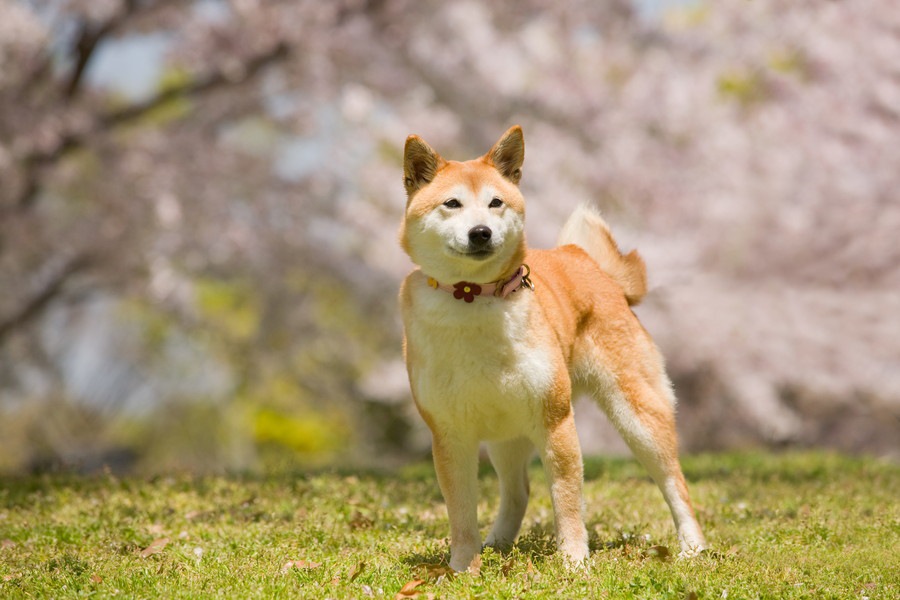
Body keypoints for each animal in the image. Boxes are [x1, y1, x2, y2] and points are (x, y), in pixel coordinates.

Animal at [400, 124, 704, 568]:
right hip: (505, 434)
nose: (480, 232)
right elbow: (460, 512)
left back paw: (693, 547)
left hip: (638, 417)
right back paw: (497, 544)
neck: (474, 298)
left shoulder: (555, 420)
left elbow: (567, 499)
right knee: (517, 491)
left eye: (495, 202)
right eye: (451, 203)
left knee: (674, 482)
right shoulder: (450, 434)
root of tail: (588, 262)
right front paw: (463, 569)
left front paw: (575, 562)